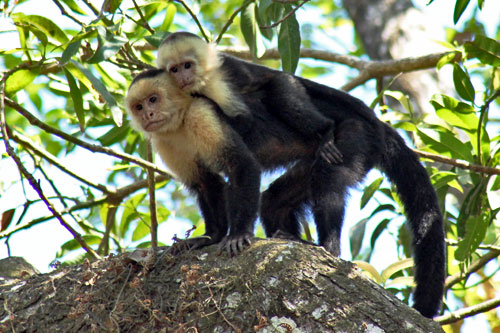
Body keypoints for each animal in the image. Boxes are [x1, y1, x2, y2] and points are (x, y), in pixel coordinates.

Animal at [127, 64, 444, 316]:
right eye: (139, 106)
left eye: (153, 99)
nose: (149, 114)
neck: (180, 121)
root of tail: (376, 125)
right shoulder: (164, 140)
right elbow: (206, 182)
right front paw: (210, 237)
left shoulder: (202, 114)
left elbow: (242, 166)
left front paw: (237, 235)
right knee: (274, 200)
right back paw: (289, 236)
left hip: (355, 137)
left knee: (328, 176)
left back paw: (327, 246)